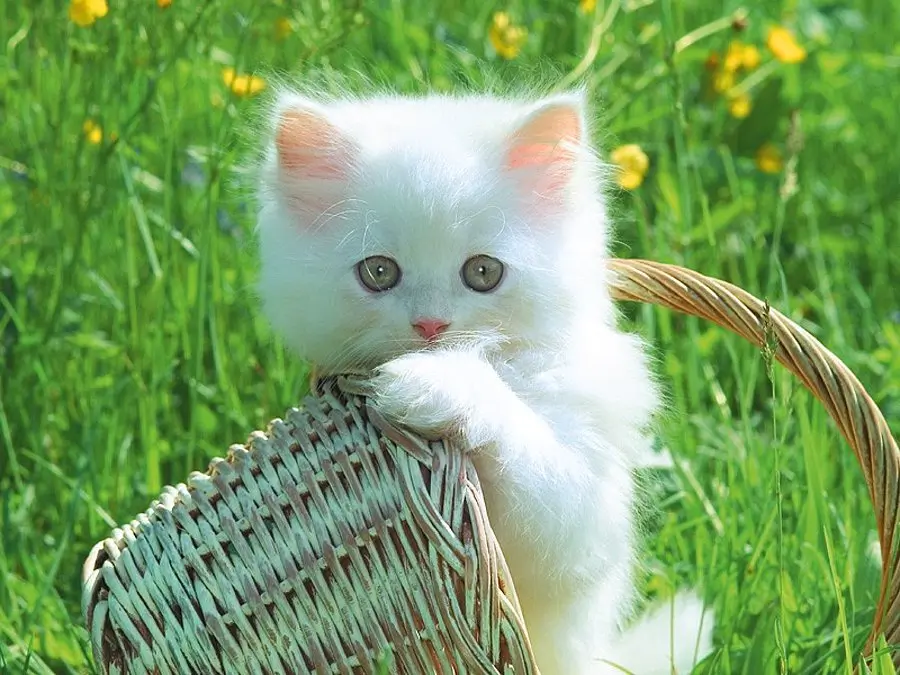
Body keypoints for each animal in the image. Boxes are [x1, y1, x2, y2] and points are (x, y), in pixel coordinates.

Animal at [256, 87, 712, 672]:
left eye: (482, 273)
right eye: (378, 272)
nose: (431, 325)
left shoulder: (584, 521)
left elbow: (525, 447)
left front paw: (430, 385)